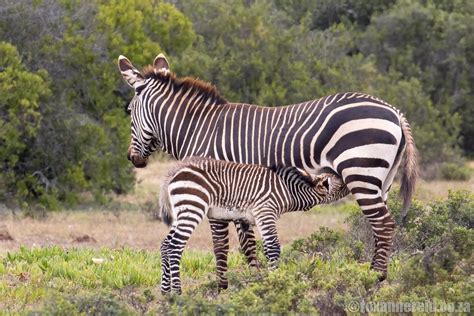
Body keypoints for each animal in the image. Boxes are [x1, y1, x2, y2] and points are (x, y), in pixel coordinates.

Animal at [157, 157, 346, 292]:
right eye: (342, 185)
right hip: (193, 206)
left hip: (181, 212)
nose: (348, 179)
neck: (289, 191)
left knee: (165, 245)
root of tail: (173, 173)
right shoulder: (265, 212)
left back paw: (166, 292)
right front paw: (277, 282)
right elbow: (273, 248)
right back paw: (178, 292)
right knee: (175, 247)